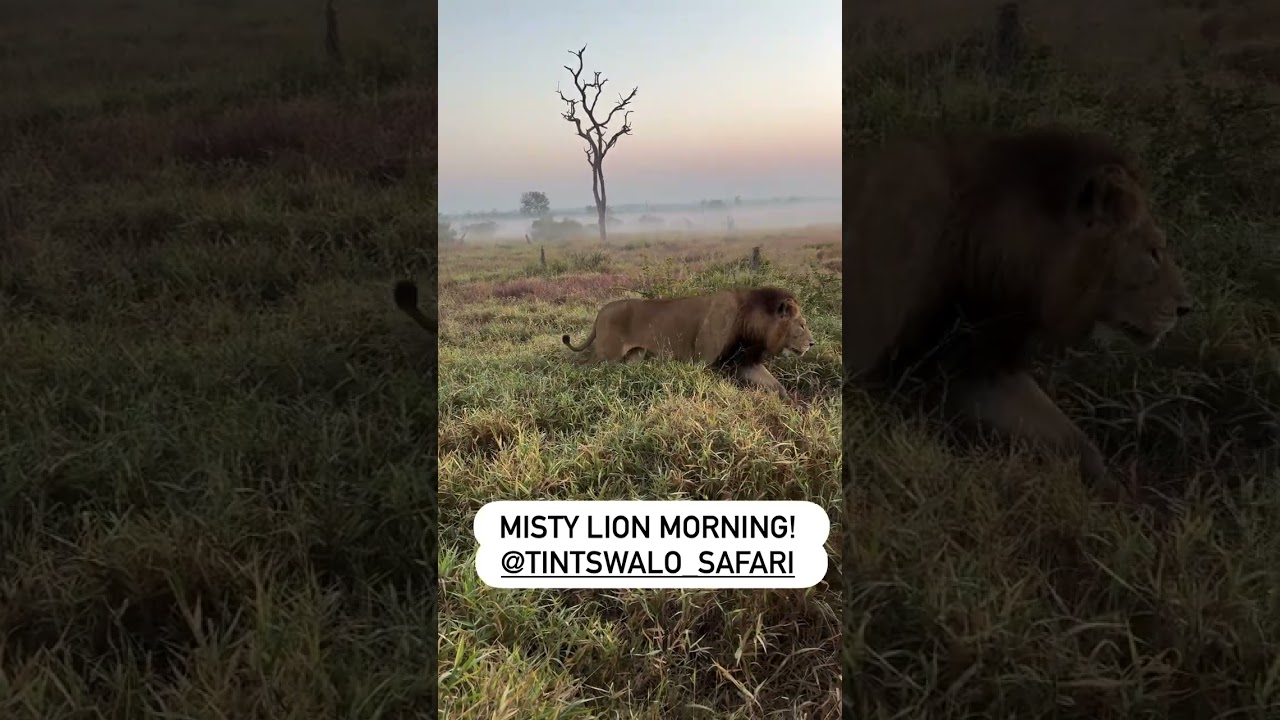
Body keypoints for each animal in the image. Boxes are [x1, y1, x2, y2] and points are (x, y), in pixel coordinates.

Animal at [562, 287, 816, 397]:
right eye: (802, 325)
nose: (812, 344)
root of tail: (601, 311)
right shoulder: (705, 362)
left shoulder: (744, 362)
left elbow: (776, 385)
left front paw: (791, 404)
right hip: (606, 355)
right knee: (579, 365)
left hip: (632, 357)